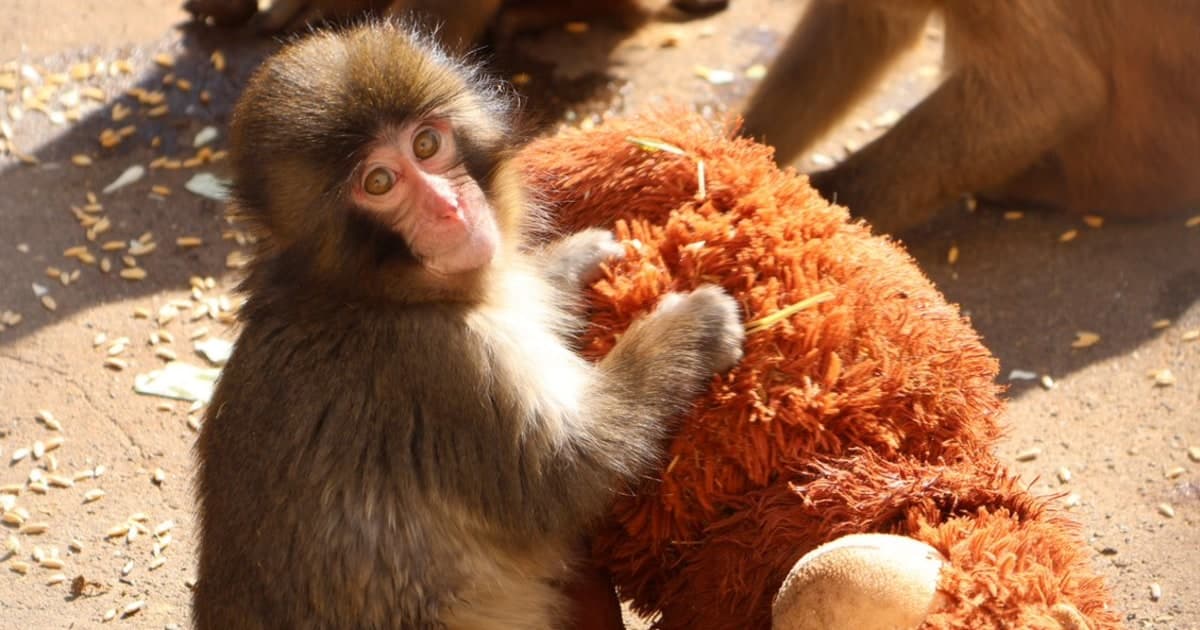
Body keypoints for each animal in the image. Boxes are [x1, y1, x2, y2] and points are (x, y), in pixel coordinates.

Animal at [192, 20, 744, 630]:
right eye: (379, 182)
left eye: (426, 145)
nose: (449, 208)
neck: (366, 295)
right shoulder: (440, 365)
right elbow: (568, 471)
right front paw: (692, 328)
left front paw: (573, 261)